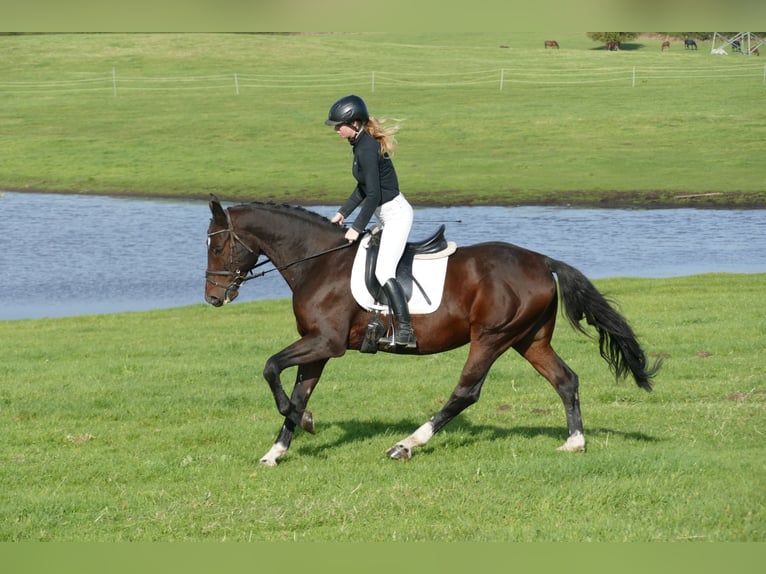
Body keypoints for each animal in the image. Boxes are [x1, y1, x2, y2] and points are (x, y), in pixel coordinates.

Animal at [207, 198, 664, 468]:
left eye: (216, 245)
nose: (213, 297)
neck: (318, 261)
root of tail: (542, 261)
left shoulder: (326, 343)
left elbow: (270, 368)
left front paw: (306, 424)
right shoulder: (317, 346)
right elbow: (297, 391)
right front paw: (278, 448)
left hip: (491, 337)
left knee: (466, 392)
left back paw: (406, 444)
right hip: (529, 339)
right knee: (566, 380)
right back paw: (575, 443)